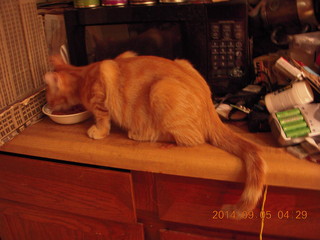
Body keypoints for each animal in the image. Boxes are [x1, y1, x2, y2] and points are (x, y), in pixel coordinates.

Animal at [44, 51, 264, 217]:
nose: (50, 107)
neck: (83, 74)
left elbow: (102, 119)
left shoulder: (100, 98)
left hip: (161, 90)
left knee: (189, 138)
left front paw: (97, 130)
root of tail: (210, 106)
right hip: (182, 63)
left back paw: (141, 134)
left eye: (49, 97)